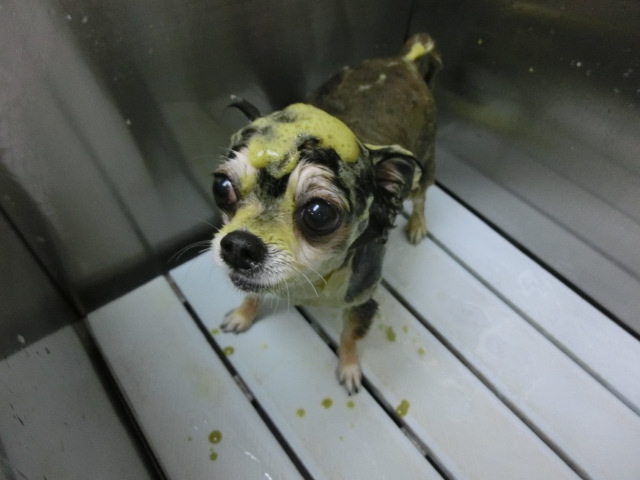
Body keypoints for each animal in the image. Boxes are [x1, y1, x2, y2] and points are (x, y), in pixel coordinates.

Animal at [211, 33, 441, 394]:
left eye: (319, 213)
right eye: (221, 186)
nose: (238, 246)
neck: (311, 280)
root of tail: (405, 62)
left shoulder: (362, 302)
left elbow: (350, 336)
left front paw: (348, 367)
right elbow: (251, 294)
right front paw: (241, 314)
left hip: (424, 166)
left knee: (421, 198)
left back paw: (417, 225)